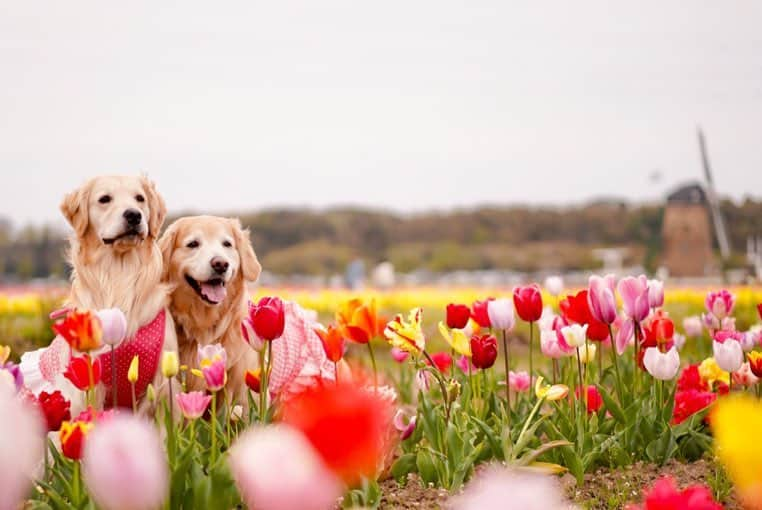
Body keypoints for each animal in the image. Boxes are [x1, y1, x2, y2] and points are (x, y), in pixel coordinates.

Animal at [21, 175, 176, 414]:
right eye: (104, 199)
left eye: (140, 198)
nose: (134, 215)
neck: (120, 272)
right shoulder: (88, 377)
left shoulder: (163, 380)